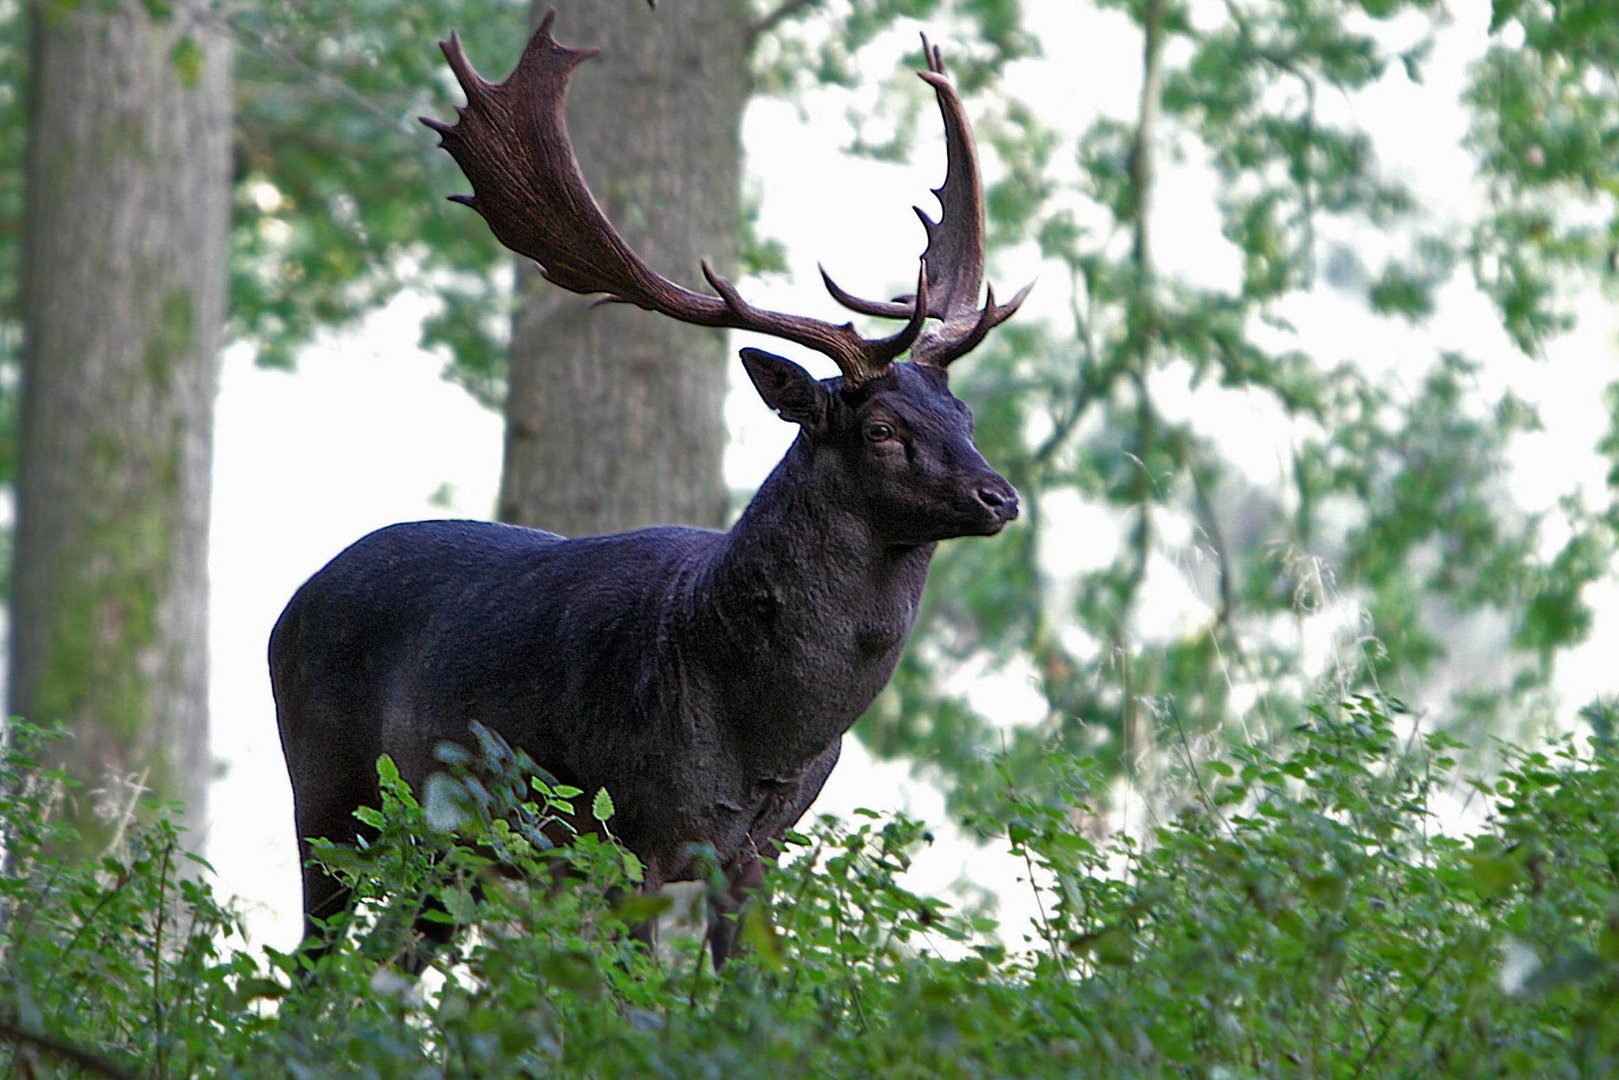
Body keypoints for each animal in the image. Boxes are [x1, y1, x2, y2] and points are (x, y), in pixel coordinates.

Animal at [265, 10, 1023, 971]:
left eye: (962, 411)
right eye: (882, 431)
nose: (1000, 497)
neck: (757, 726)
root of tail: (288, 605)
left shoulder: (757, 846)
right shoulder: (624, 830)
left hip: (449, 849)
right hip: (327, 793)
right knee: (313, 956)